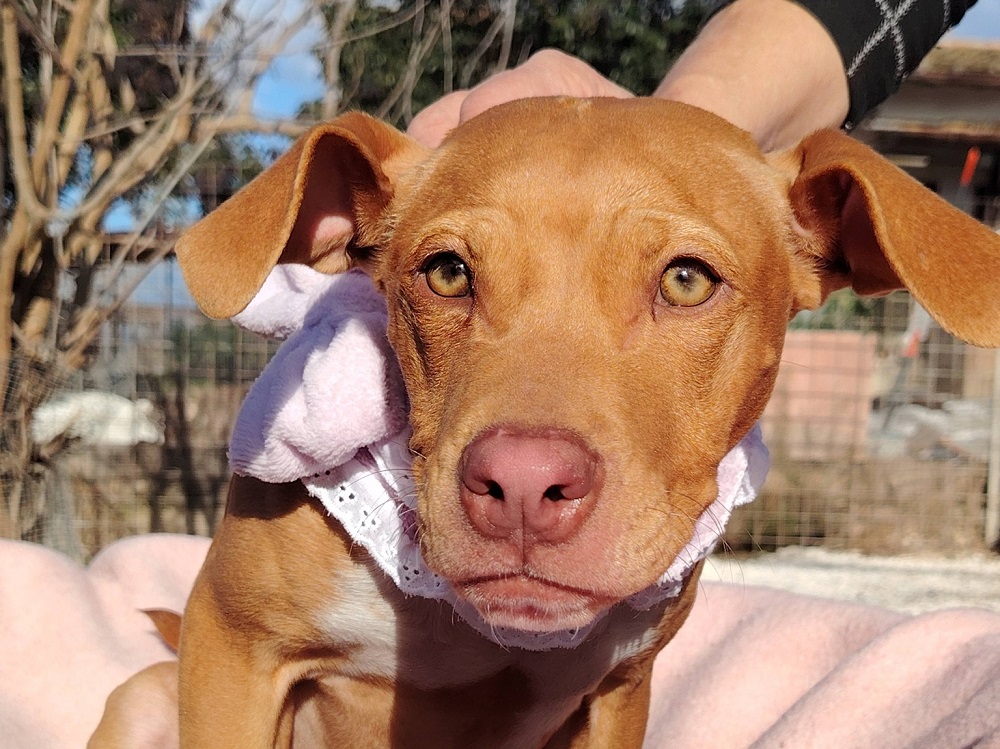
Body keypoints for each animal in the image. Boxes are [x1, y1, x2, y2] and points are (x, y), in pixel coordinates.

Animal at [90, 97, 1000, 748]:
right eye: (446, 272)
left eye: (687, 281)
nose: (524, 484)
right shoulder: (235, 648)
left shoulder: (620, 695)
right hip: (149, 696)